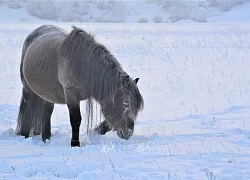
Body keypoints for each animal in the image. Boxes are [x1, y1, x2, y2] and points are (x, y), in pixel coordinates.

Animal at [15, 25, 144, 146]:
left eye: (136, 108)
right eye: (125, 103)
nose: (128, 133)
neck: (83, 65)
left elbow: (108, 120)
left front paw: (98, 130)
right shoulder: (71, 94)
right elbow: (75, 120)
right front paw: (75, 144)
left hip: (48, 94)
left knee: (46, 113)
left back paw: (46, 139)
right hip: (27, 89)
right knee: (27, 109)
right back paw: (24, 135)